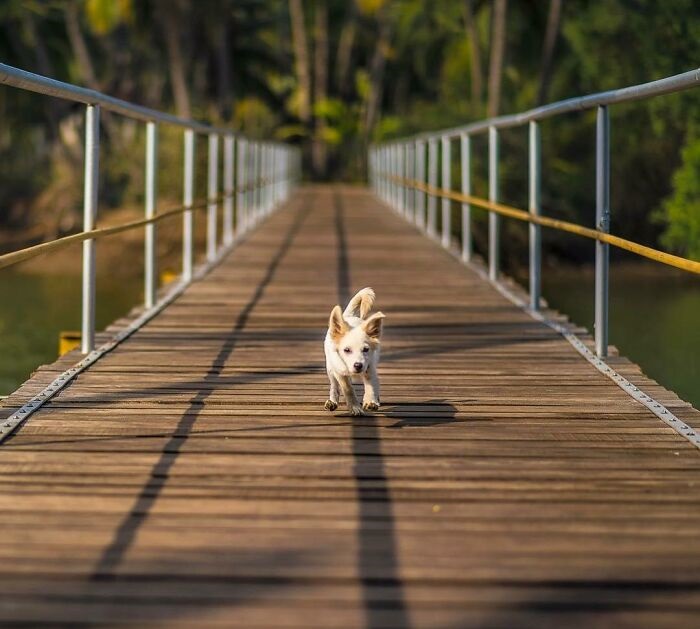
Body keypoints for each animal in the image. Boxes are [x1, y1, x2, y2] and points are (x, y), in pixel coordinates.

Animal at [326, 290, 386, 418]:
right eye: (346, 350)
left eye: (366, 349)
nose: (358, 365)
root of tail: (349, 316)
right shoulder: (339, 371)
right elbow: (348, 389)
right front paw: (355, 407)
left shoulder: (369, 367)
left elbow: (371, 385)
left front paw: (370, 401)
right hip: (330, 368)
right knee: (334, 386)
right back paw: (332, 402)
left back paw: (376, 400)